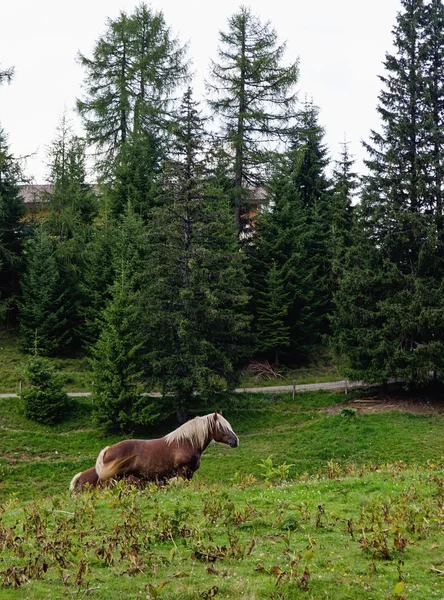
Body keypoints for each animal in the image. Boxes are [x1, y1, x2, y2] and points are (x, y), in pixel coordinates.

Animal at [94, 410, 239, 486]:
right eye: (222, 427)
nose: (236, 441)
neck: (186, 443)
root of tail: (107, 450)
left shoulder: (190, 473)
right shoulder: (183, 472)